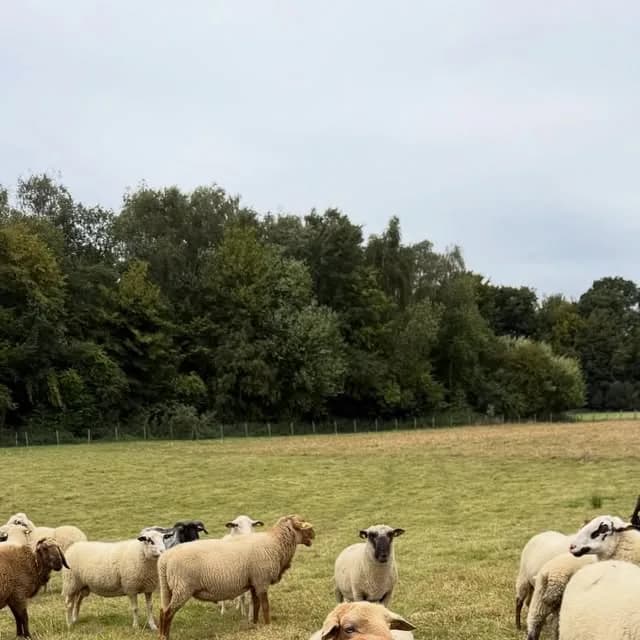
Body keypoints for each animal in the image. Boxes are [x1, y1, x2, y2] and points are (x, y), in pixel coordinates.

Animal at [157, 514, 315, 640]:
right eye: (302, 524)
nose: (314, 535)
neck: (274, 543)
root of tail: (164, 560)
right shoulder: (261, 580)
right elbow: (265, 606)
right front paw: (268, 625)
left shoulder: (254, 582)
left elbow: (256, 604)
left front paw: (255, 623)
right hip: (182, 588)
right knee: (168, 613)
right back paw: (165, 636)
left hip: (168, 589)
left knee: (162, 611)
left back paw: (162, 635)